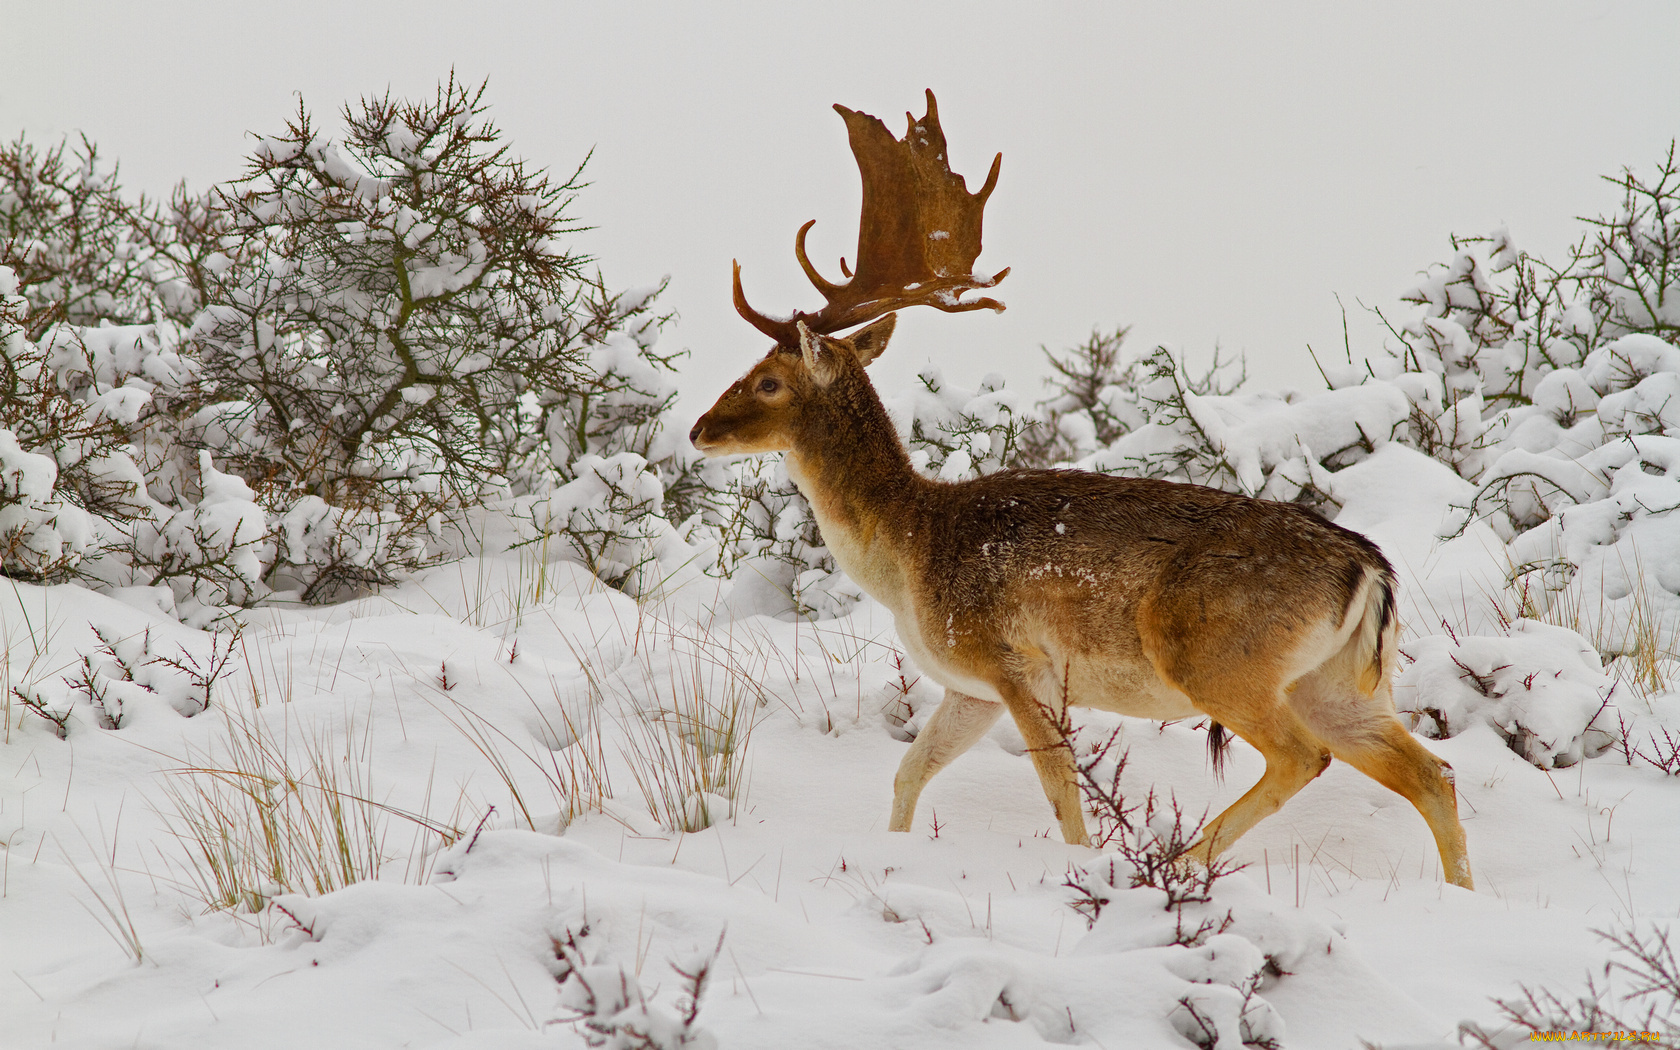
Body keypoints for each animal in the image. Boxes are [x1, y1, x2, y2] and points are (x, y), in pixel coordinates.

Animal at [688, 94, 1478, 887]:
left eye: (768, 379)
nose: (698, 429)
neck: (908, 553)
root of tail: (1370, 570)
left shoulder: (1013, 662)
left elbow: (1059, 789)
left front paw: (1079, 864)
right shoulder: (967, 687)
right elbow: (910, 772)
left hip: (1222, 660)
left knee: (1302, 757)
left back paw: (1179, 863)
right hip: (1342, 684)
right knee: (1432, 773)